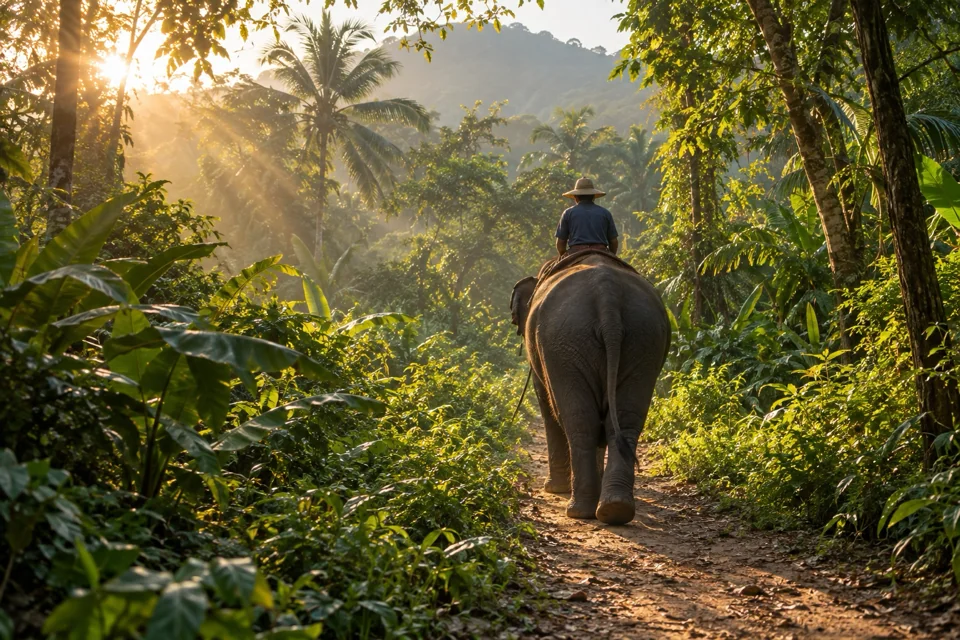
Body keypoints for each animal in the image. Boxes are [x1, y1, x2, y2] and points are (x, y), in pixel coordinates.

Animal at [510, 252, 670, 525]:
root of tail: (608, 297)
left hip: (564, 345)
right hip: (643, 341)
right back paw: (614, 509)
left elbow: (547, 405)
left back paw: (579, 509)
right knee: (624, 421)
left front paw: (554, 489)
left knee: (579, 421)